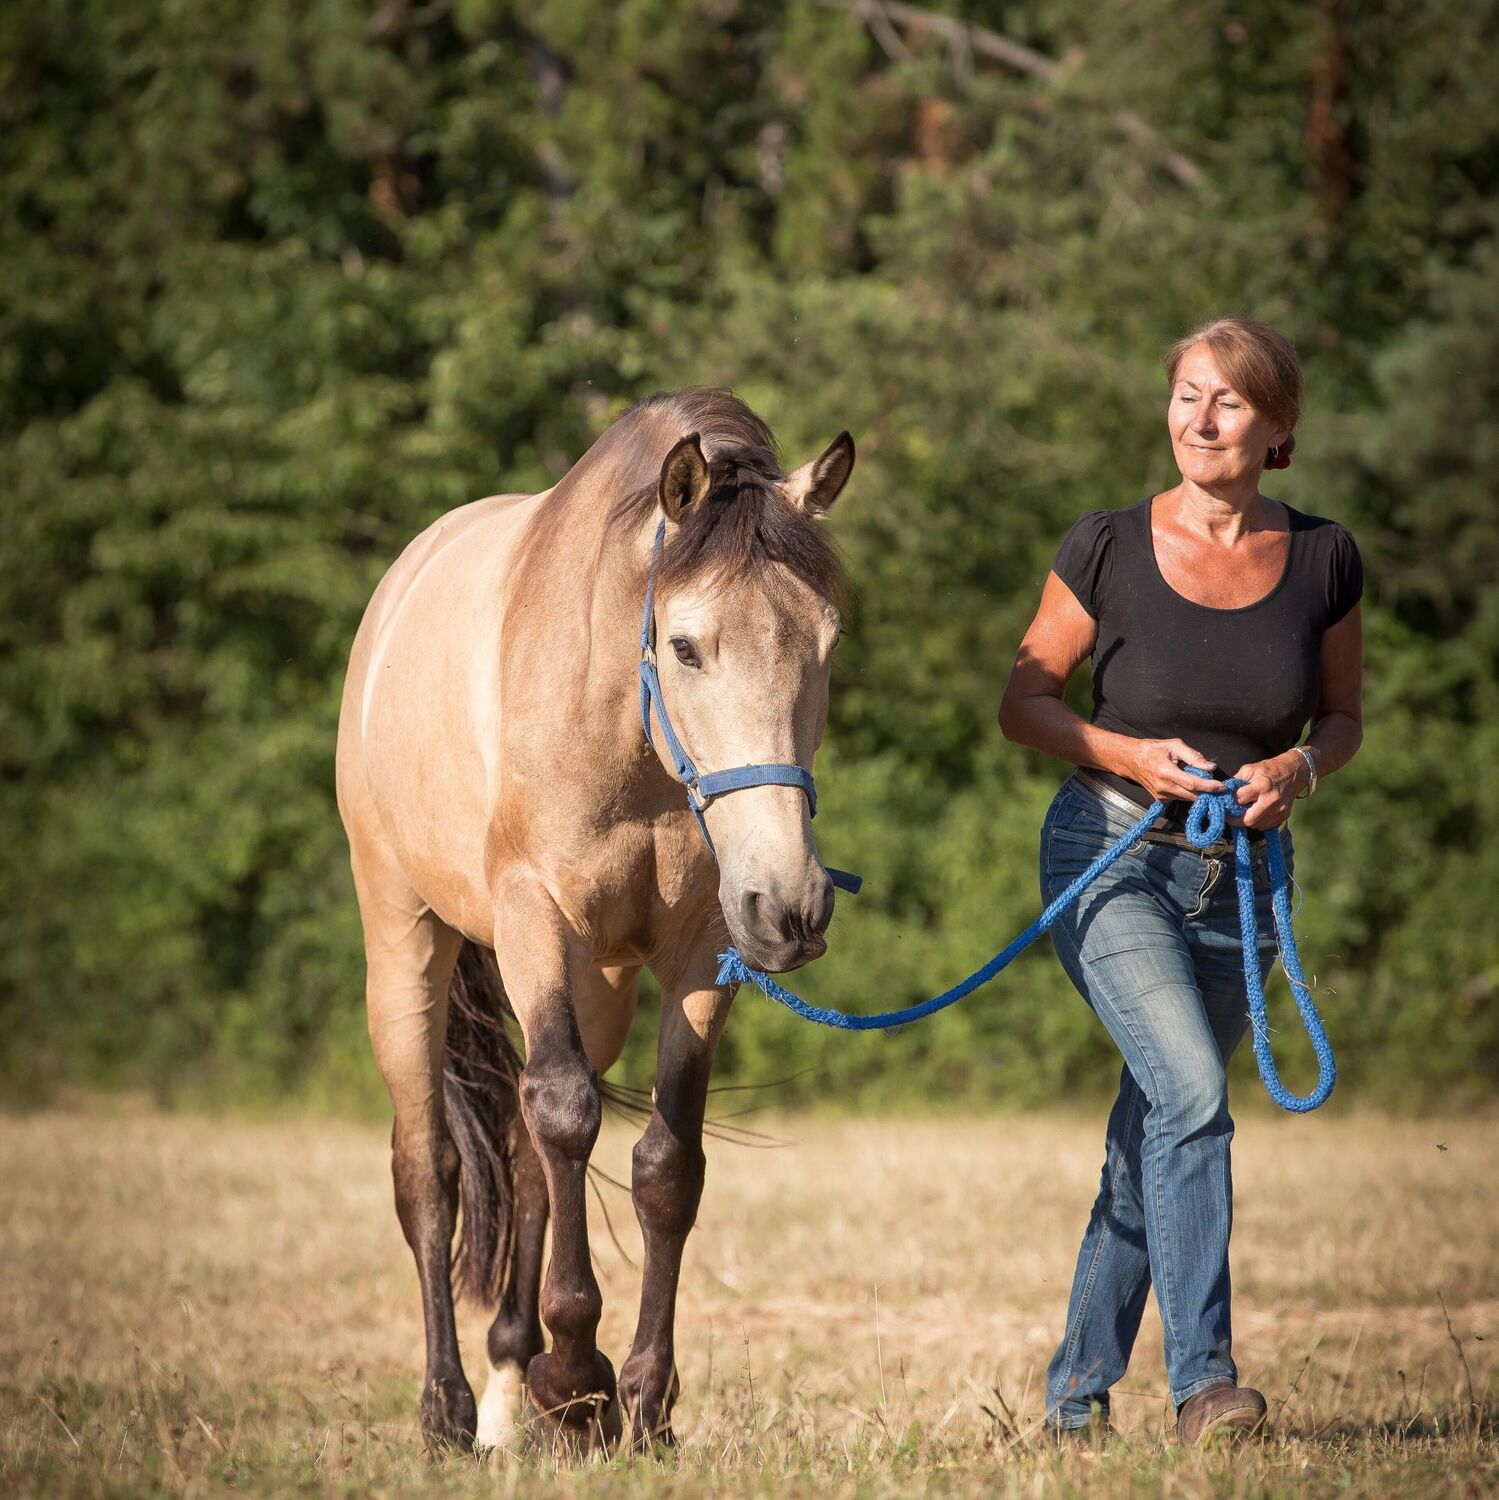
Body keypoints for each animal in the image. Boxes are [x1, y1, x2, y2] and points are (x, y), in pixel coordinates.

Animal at [339, 387, 858, 1452]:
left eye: (828, 645)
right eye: (686, 645)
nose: (792, 905)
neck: (628, 739)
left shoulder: (704, 950)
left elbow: (663, 1163)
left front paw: (642, 1401)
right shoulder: (533, 919)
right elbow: (563, 1112)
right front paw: (580, 1376)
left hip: (601, 986)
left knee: (533, 1160)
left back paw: (511, 1392)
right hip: (406, 940)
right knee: (433, 1172)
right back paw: (450, 1407)